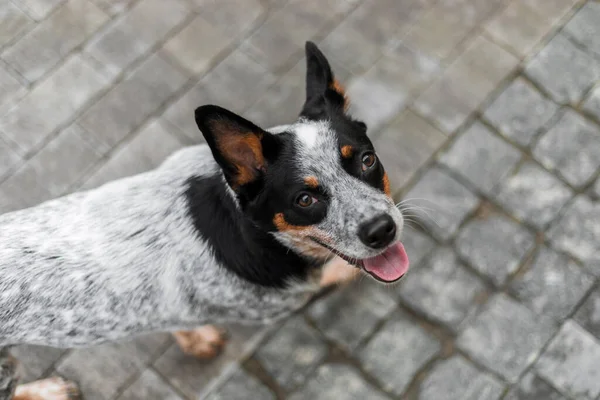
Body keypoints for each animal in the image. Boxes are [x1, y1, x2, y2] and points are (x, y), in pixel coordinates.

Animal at [0, 42, 408, 398]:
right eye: (304, 200)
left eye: (367, 160)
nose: (382, 230)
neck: (250, 233)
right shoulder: (279, 300)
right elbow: (336, 271)